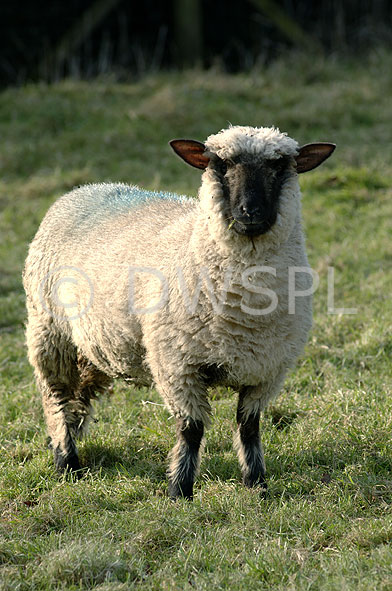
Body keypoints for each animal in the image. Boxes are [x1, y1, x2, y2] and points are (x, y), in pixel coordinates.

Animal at [23, 125, 334, 500]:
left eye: (278, 165)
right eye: (220, 165)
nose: (250, 211)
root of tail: (85, 188)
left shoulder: (267, 370)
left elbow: (249, 427)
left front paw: (256, 483)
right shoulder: (177, 363)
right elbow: (191, 429)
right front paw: (180, 489)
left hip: (92, 346)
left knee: (77, 397)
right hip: (49, 332)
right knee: (56, 397)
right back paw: (67, 461)